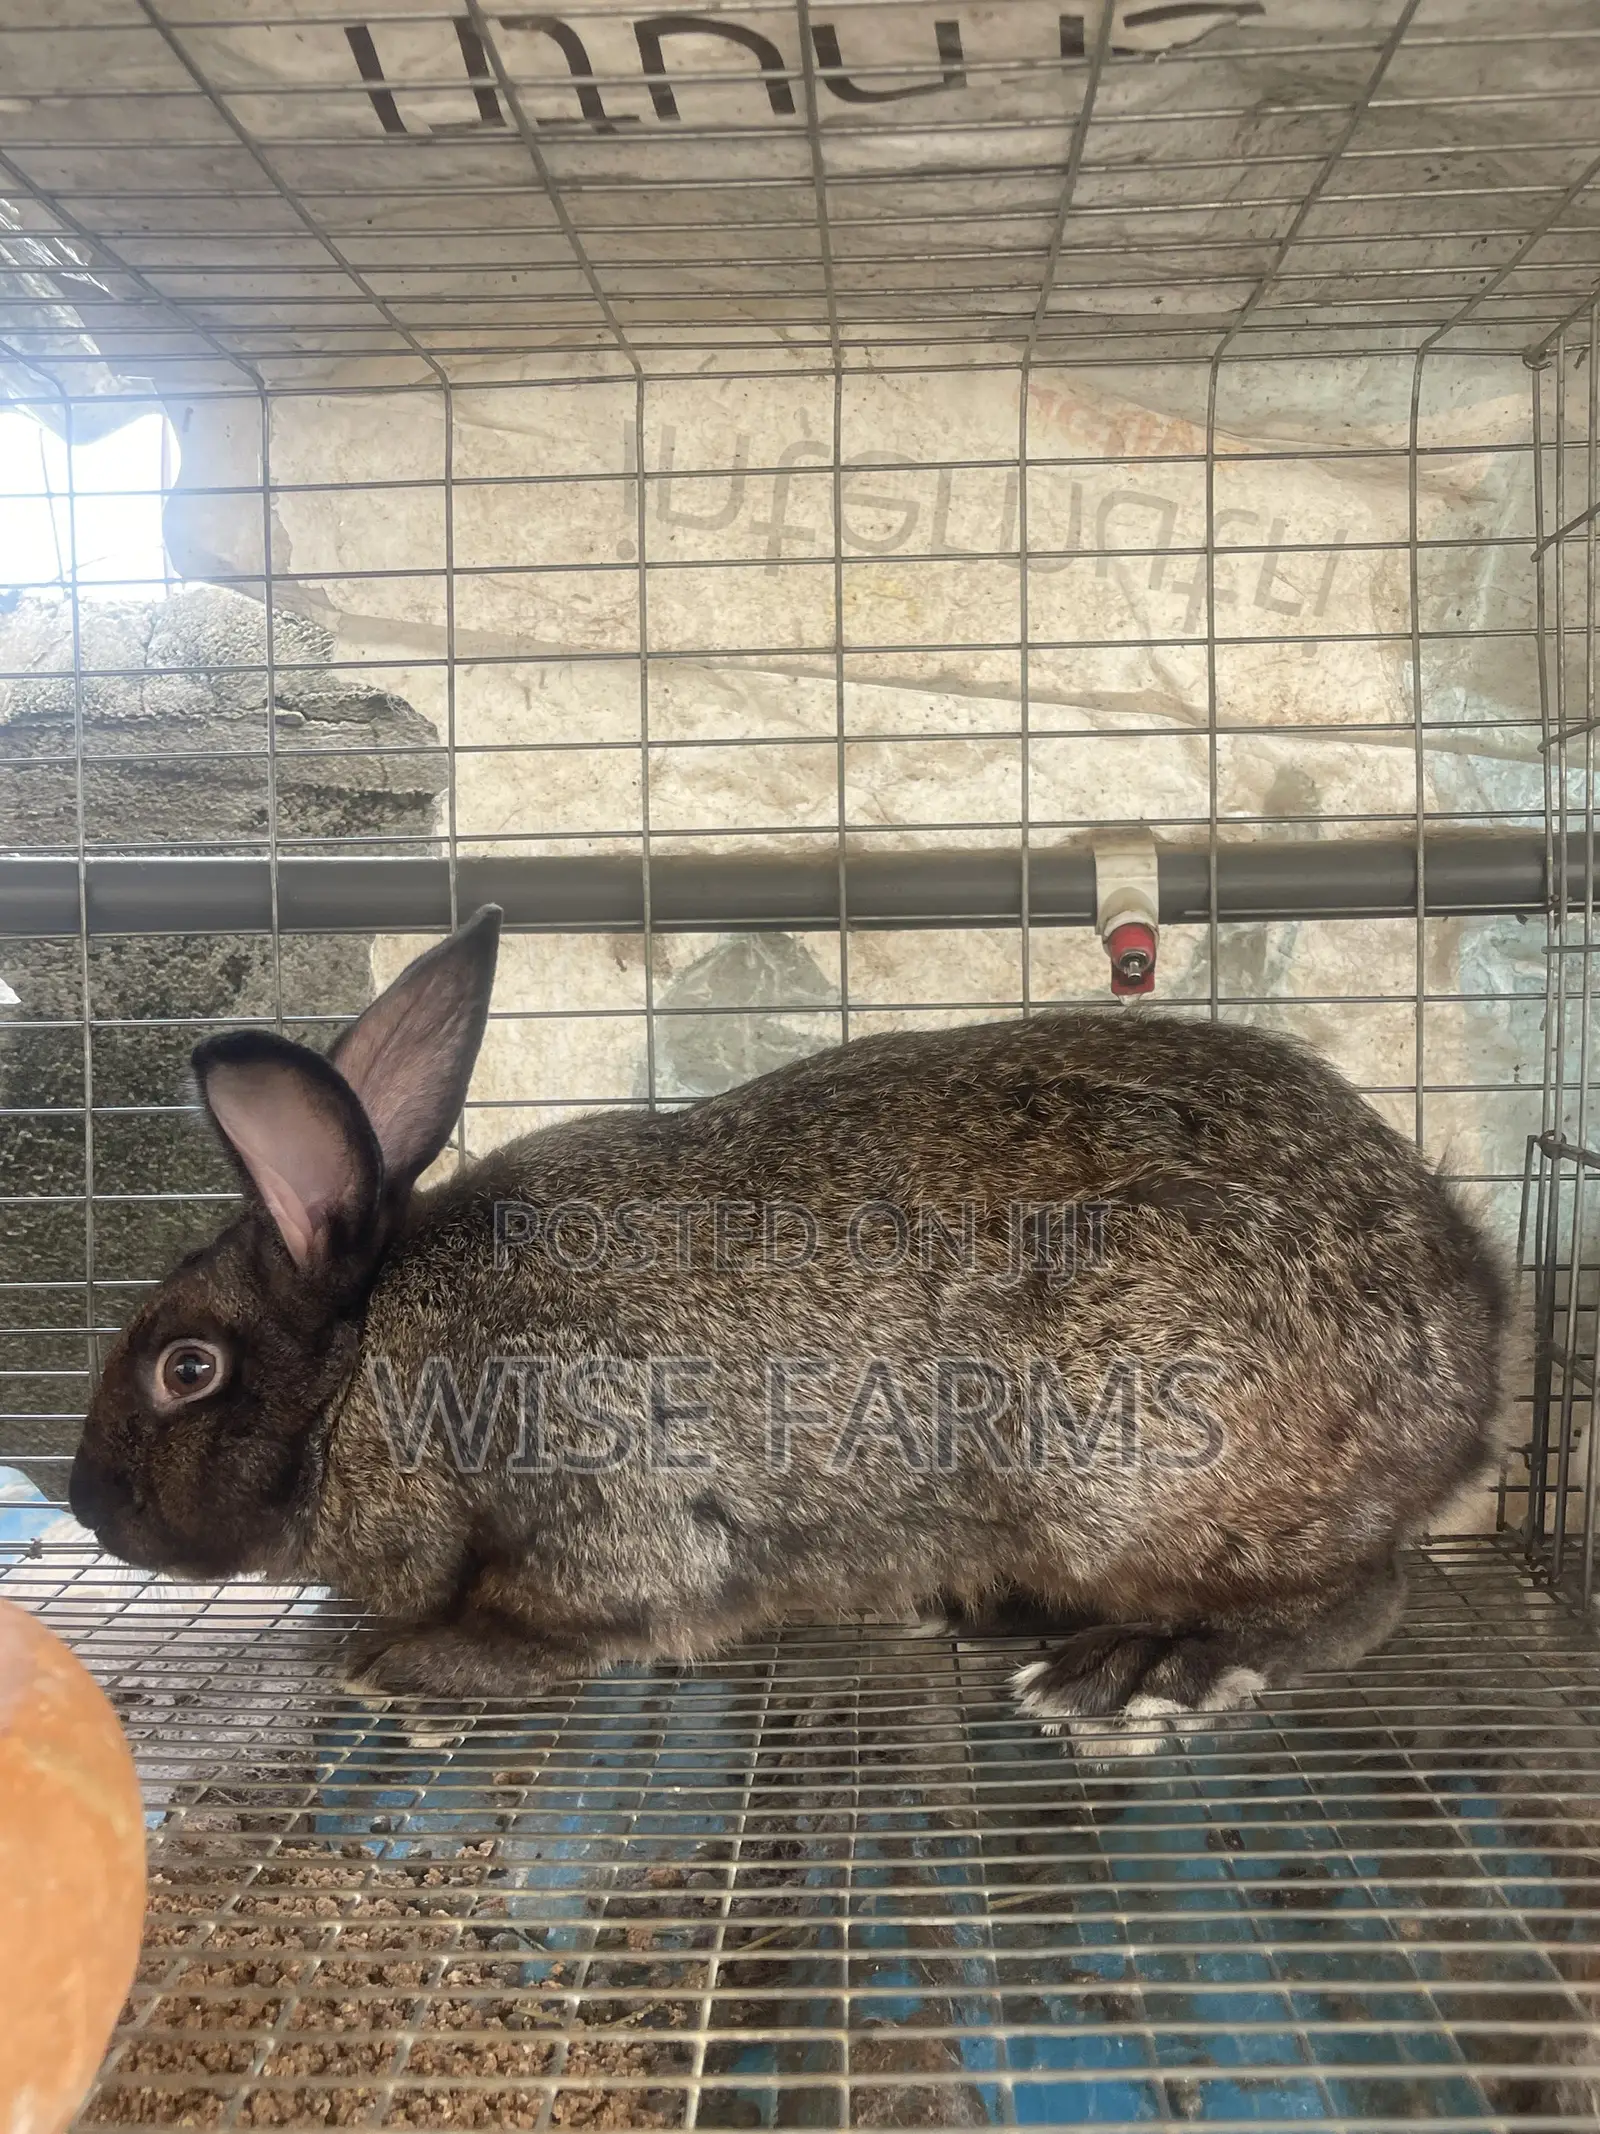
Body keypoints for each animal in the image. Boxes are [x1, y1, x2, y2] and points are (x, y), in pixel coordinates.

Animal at [70, 905, 1509, 1753]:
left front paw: (395, 1663)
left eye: (187, 1367)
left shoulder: (606, 1513)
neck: (375, 1362)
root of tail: (1471, 1325)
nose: (88, 1505)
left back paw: (1141, 1669)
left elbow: (564, 1624)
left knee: (1356, 1591)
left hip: (1127, 1476)